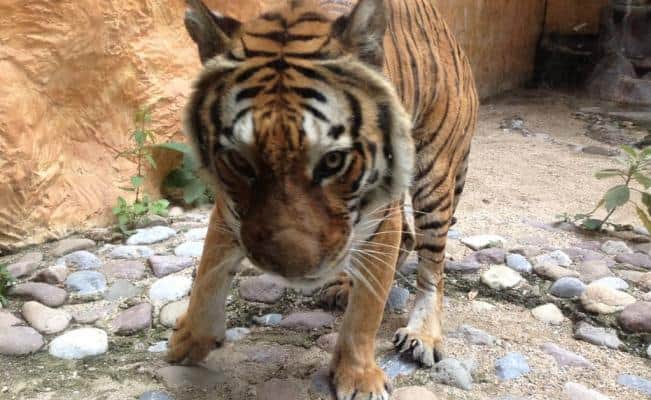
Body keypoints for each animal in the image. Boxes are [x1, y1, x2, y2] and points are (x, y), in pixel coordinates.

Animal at [168, 0, 478, 399]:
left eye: (333, 160)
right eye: (240, 161)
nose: (292, 269)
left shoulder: (381, 215)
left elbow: (366, 311)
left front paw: (358, 377)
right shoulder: (230, 209)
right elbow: (208, 273)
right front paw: (189, 340)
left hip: (435, 178)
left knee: (432, 268)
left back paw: (422, 334)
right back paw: (344, 285)